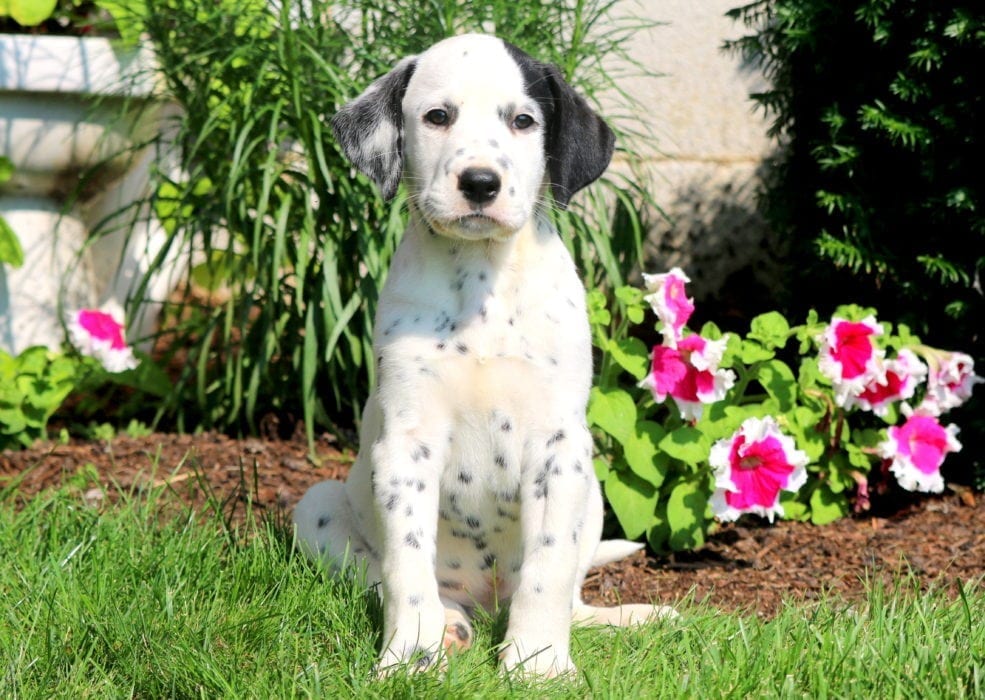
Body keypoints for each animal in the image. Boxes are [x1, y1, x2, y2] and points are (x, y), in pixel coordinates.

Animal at [292, 32, 672, 680]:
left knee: (572, 595)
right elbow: (406, 566)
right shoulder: (407, 443)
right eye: (437, 117)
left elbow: (549, 570)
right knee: (377, 575)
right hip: (315, 505)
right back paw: (448, 626)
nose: (479, 183)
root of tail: (485, 599)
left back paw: (630, 619)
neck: (482, 281)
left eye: (522, 121)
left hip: (592, 492)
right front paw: (410, 655)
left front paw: (539, 665)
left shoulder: (559, 449)